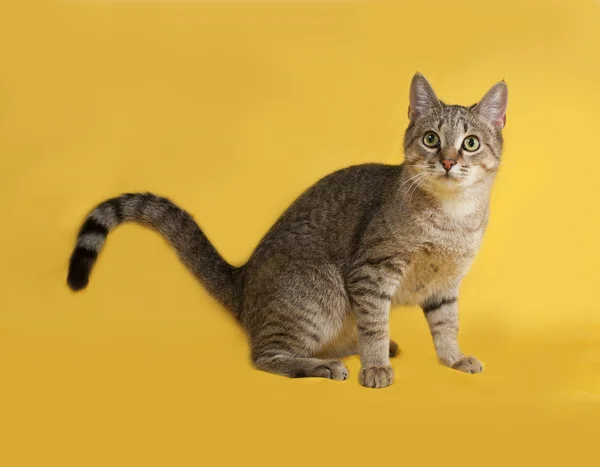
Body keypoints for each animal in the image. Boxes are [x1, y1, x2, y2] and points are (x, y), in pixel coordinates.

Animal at [68, 73, 508, 388]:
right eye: (431, 139)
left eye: (470, 143)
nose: (448, 161)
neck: (452, 219)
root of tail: (242, 279)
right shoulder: (370, 272)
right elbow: (374, 324)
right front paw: (375, 366)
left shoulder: (446, 284)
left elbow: (446, 325)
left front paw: (452, 358)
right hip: (320, 290)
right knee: (266, 356)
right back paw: (325, 365)